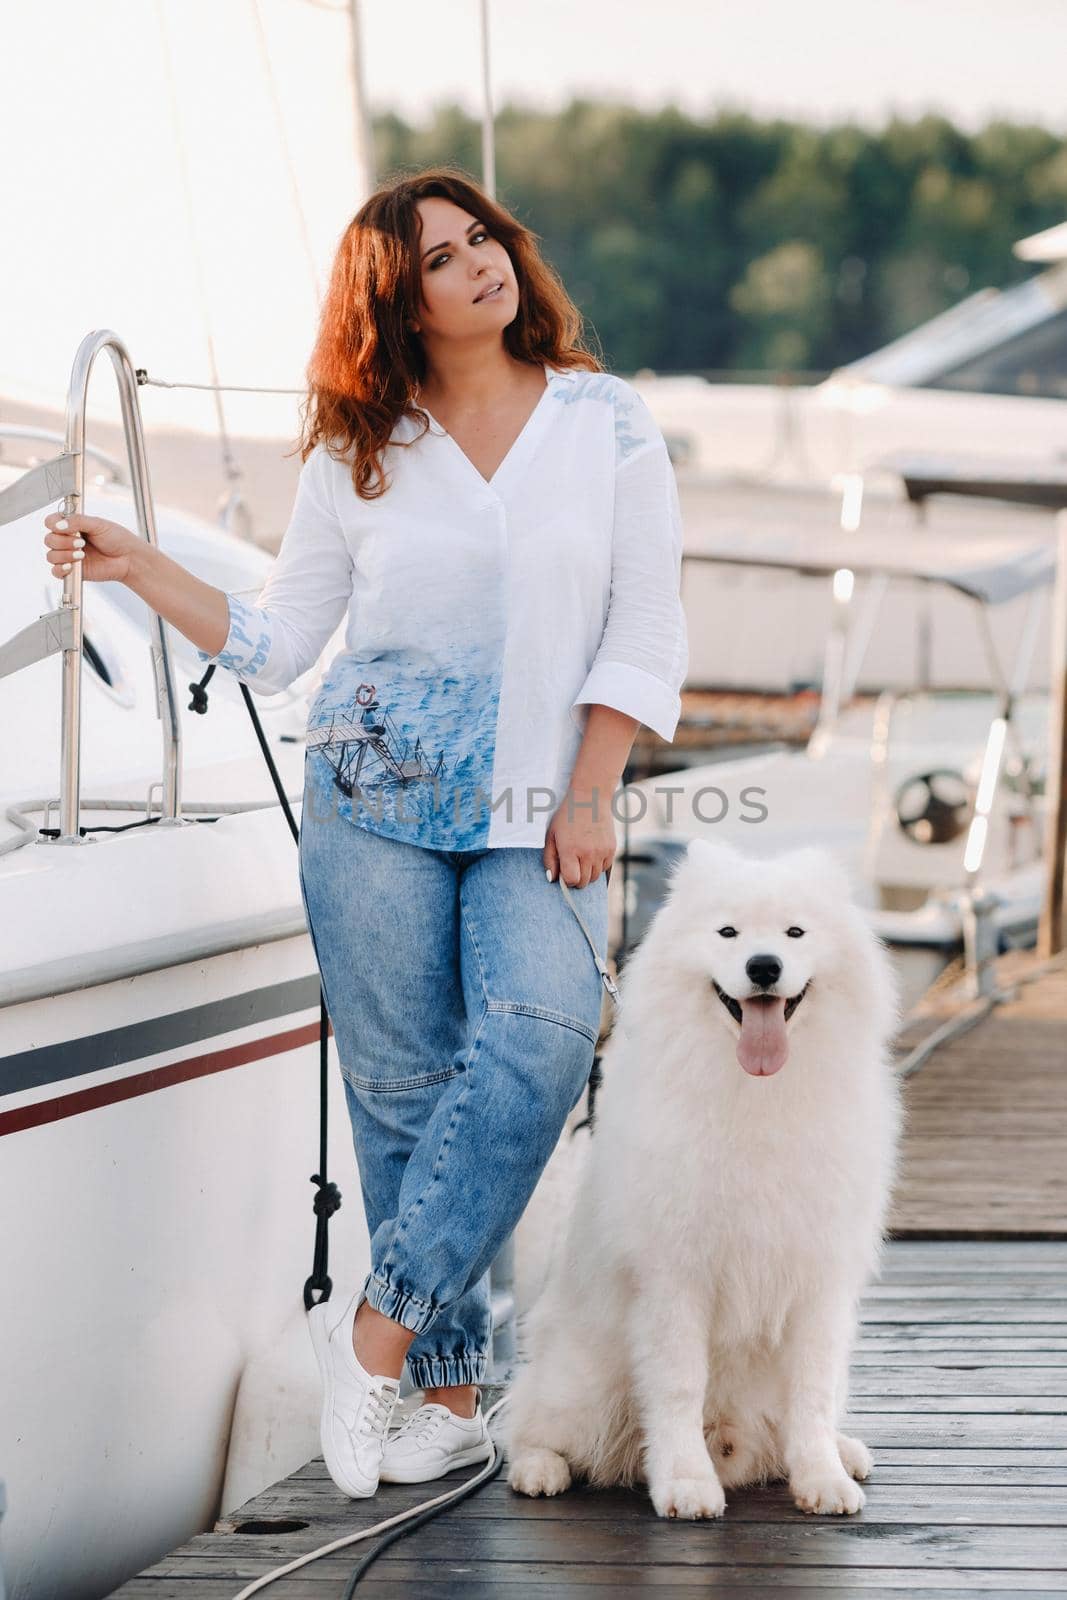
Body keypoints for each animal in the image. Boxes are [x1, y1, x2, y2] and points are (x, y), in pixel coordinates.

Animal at [508, 838, 902, 1523]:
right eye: (728, 932)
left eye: (795, 932)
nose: (764, 966)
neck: (757, 1095)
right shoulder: (676, 1275)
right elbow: (678, 1387)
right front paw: (687, 1483)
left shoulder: (820, 1278)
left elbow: (812, 1390)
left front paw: (822, 1478)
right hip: (582, 1379)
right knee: (527, 1426)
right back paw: (539, 1470)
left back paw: (842, 1450)